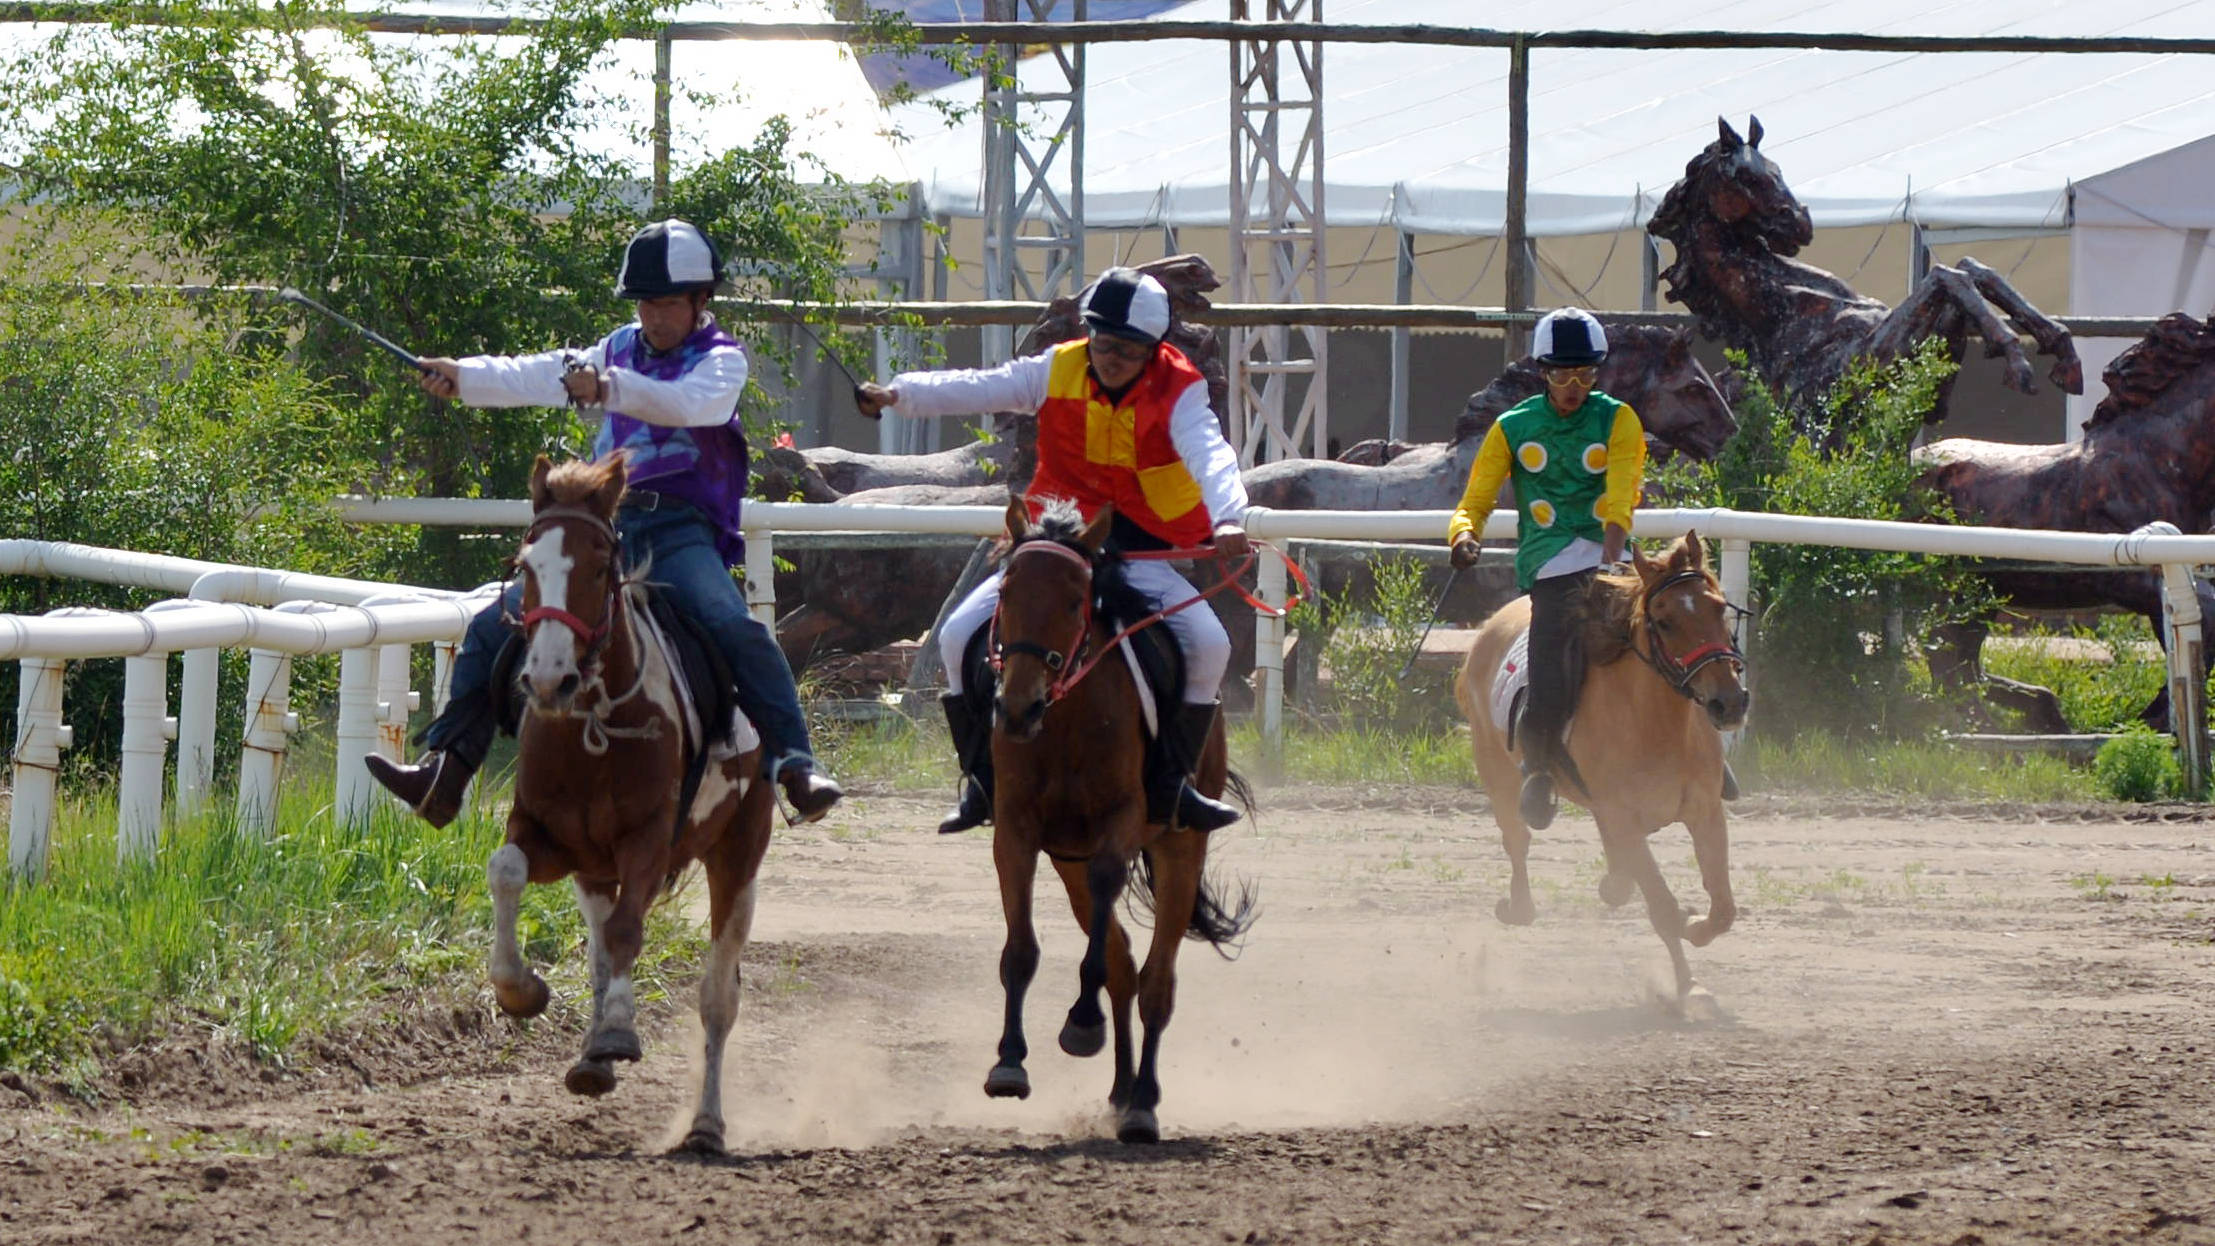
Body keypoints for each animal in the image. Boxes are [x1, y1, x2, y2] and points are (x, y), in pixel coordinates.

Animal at [487, 453, 779, 1159]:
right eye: (526, 565)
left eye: (598, 567)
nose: (547, 680)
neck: (594, 722)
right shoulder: (547, 836)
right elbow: (505, 870)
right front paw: (521, 990)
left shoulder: (649, 839)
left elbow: (628, 931)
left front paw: (620, 1030)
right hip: (594, 871)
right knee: (599, 956)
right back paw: (592, 1058)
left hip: (739, 854)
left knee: (717, 996)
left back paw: (704, 1125)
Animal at [979, 497, 1258, 1150]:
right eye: (1006, 591)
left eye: (1075, 601)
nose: (1017, 708)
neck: (1065, 721)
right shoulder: (1016, 835)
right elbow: (1022, 950)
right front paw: (1009, 1062)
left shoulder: (1121, 829)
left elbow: (1107, 921)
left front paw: (1082, 1023)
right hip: (1069, 863)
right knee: (1126, 969)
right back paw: (1120, 1092)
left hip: (1182, 850)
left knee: (1156, 982)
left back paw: (1143, 1104)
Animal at [1461, 535, 1754, 1004]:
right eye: (1664, 621)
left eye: (1718, 607)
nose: (1729, 702)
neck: (1656, 723)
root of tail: (1491, 625)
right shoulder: (1624, 820)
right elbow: (1662, 907)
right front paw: (1687, 986)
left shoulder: (1706, 812)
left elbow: (1723, 908)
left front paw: (1694, 931)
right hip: (1496, 773)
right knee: (1517, 840)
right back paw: (1519, 905)